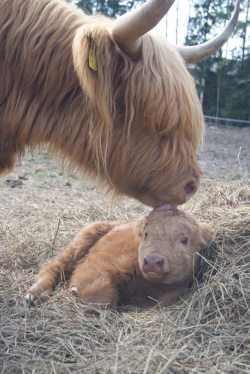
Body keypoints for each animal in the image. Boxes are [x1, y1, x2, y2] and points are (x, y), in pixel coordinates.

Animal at [25, 207, 213, 306]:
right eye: (146, 234)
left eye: (184, 239)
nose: (152, 262)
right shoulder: (96, 266)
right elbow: (101, 293)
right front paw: (75, 291)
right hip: (82, 240)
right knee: (54, 267)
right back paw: (35, 294)